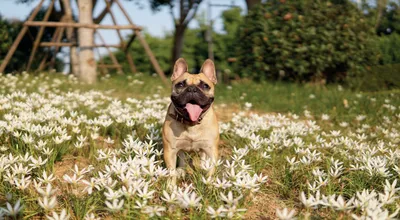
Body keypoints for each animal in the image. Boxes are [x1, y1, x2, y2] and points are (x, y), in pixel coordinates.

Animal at [162, 57, 219, 185]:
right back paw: (181, 170)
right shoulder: (170, 150)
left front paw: (209, 183)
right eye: (180, 84)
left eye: (205, 86)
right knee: (182, 158)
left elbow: (212, 169)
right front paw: (171, 187)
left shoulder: (211, 149)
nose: (192, 89)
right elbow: (171, 171)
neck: (192, 123)